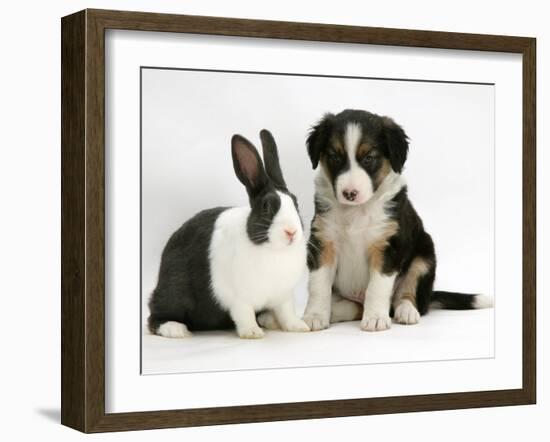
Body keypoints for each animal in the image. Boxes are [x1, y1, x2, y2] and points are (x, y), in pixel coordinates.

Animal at [147, 129, 310, 340]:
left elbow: (287, 313)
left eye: (296, 203)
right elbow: (244, 314)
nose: (291, 231)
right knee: (154, 315)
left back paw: (269, 320)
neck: (273, 250)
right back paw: (176, 329)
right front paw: (252, 333)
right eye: (266, 207)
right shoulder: (239, 298)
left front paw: (299, 327)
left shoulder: (284, 296)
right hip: (173, 291)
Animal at [304, 109, 494, 332]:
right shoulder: (323, 242)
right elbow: (318, 285)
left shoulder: (388, 247)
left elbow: (377, 286)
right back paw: (335, 312)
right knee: (354, 307)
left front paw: (376, 318)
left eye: (369, 158)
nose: (349, 193)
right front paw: (314, 316)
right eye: (334, 157)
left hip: (424, 256)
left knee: (405, 297)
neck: (357, 210)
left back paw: (406, 311)